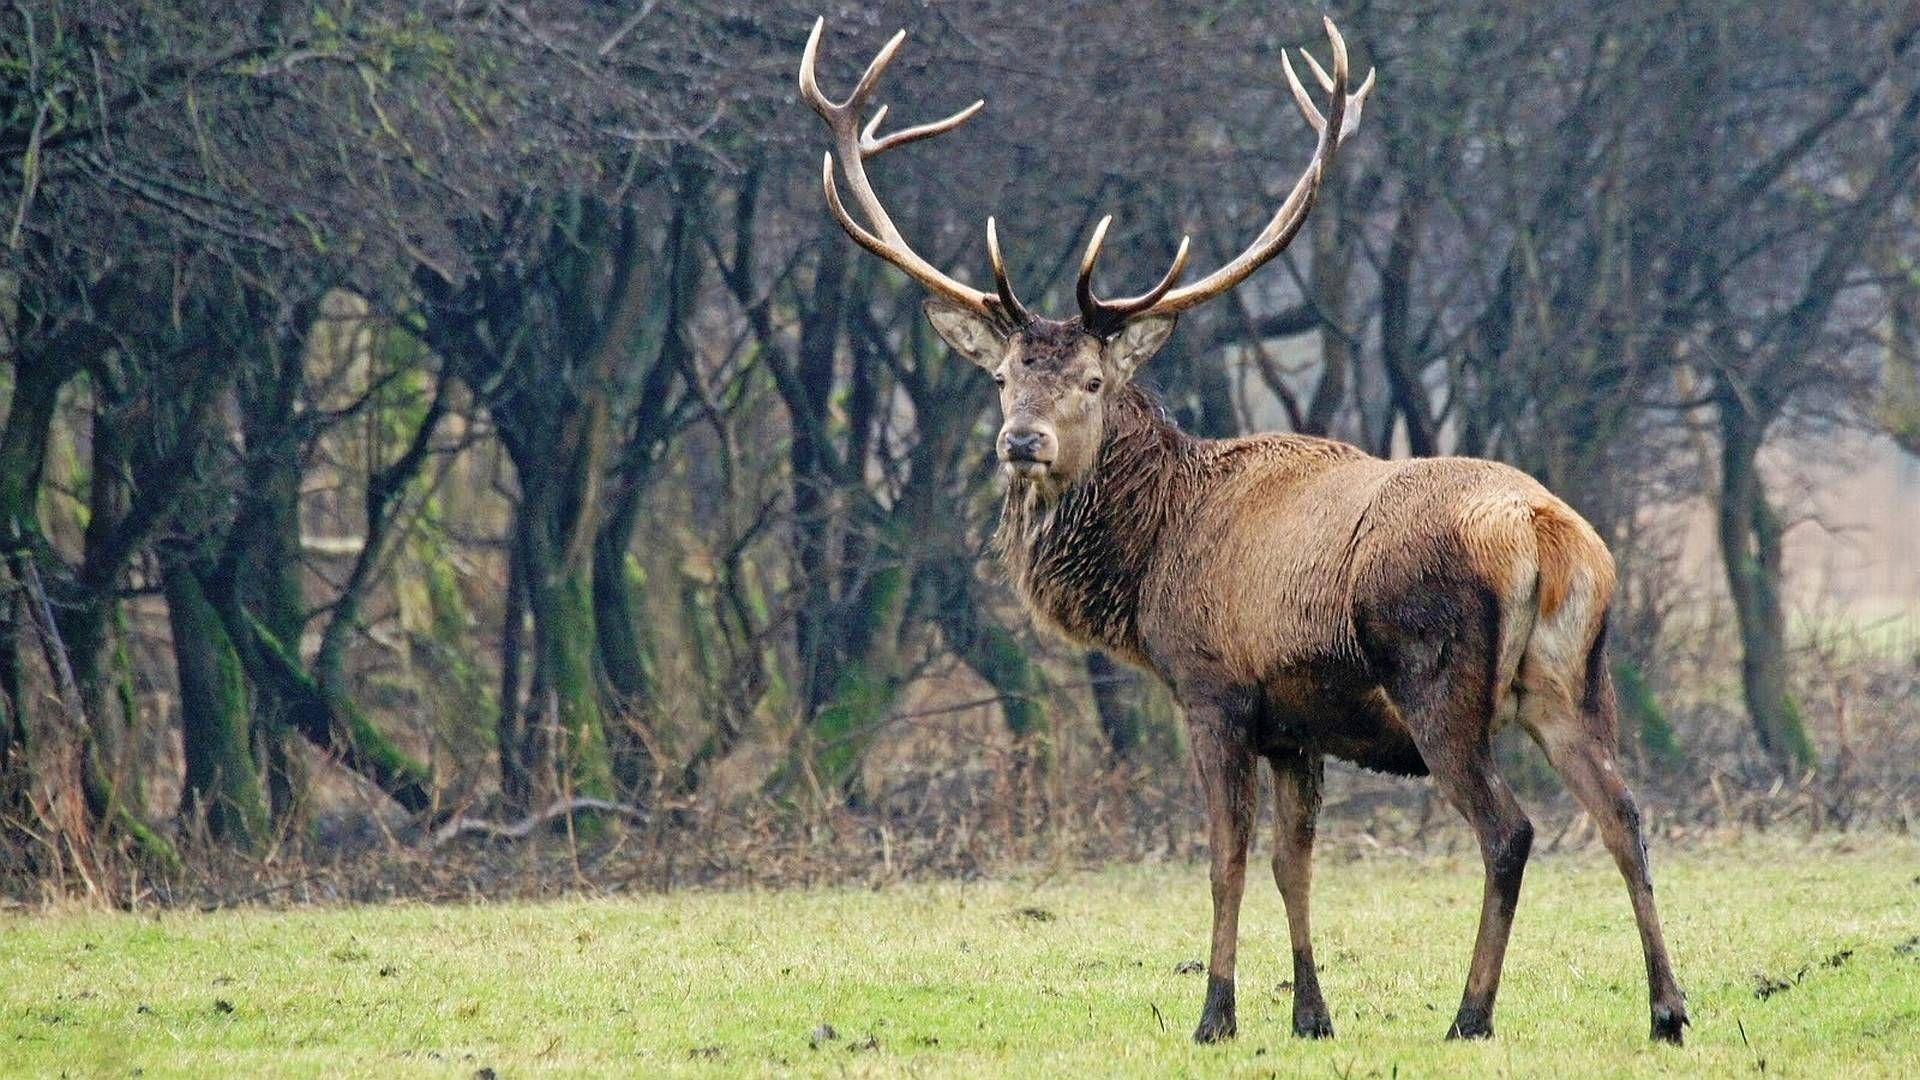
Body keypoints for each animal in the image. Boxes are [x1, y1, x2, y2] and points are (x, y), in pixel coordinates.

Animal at [802, 14, 1689, 1045]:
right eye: (1002, 375)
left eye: (1093, 381)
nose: (1021, 441)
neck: (1147, 565)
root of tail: (1546, 535)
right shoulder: (1297, 724)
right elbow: (1292, 863)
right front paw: (1311, 1013)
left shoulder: (1213, 688)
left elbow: (1225, 857)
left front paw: (1215, 1013)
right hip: (1577, 681)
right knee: (1624, 812)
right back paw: (1668, 1009)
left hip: (1439, 677)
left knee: (1509, 828)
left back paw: (1471, 1014)